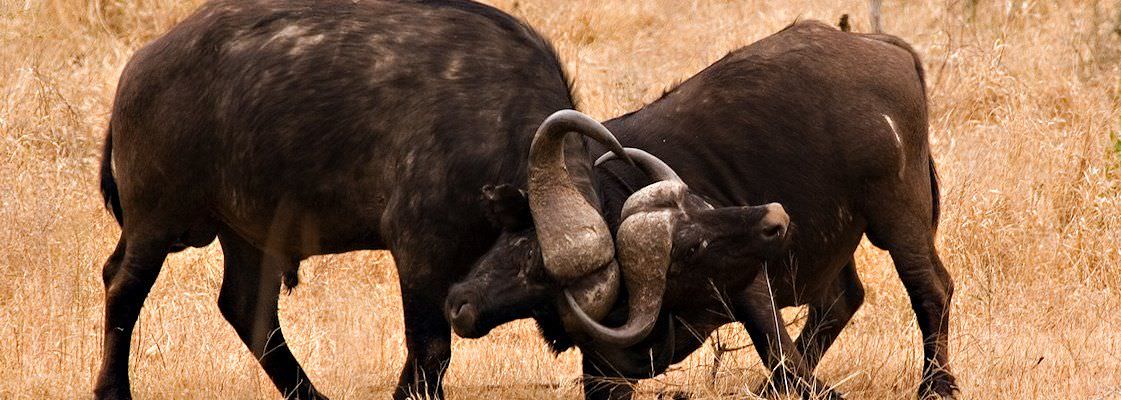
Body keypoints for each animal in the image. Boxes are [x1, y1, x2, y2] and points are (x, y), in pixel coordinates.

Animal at [441, 20, 959, 396]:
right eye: (519, 241)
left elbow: (783, 356)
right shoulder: (605, 363)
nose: (459, 302)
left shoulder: (751, 288)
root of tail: (883, 45)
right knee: (841, 300)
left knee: (931, 288)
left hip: (898, 215)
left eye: (540, 262)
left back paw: (936, 385)